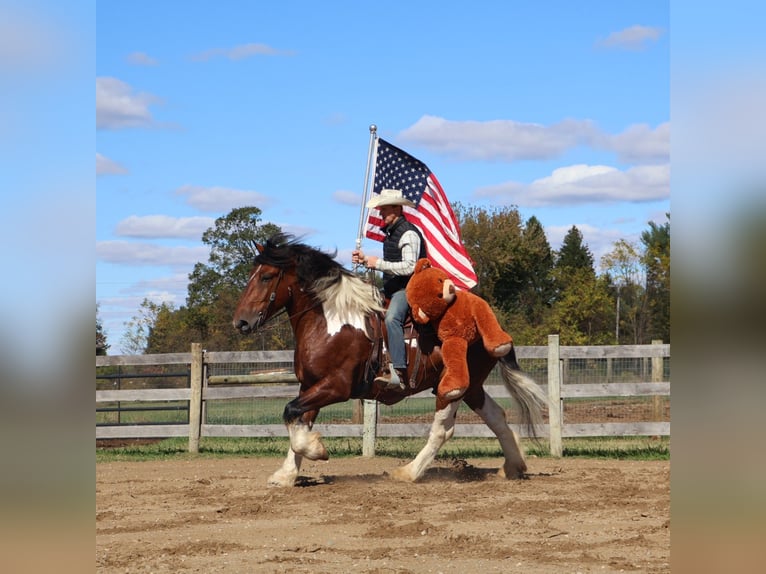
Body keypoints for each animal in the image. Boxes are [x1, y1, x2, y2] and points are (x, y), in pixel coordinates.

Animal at [232, 233, 548, 487]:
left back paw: (409, 472)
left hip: (453, 387)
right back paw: (513, 466)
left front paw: (317, 450)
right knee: (497, 417)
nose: (241, 322)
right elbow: (298, 419)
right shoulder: (309, 386)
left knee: (443, 430)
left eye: (266, 276)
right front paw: (286, 474)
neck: (331, 321)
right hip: (473, 388)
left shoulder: (336, 387)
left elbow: (290, 412)